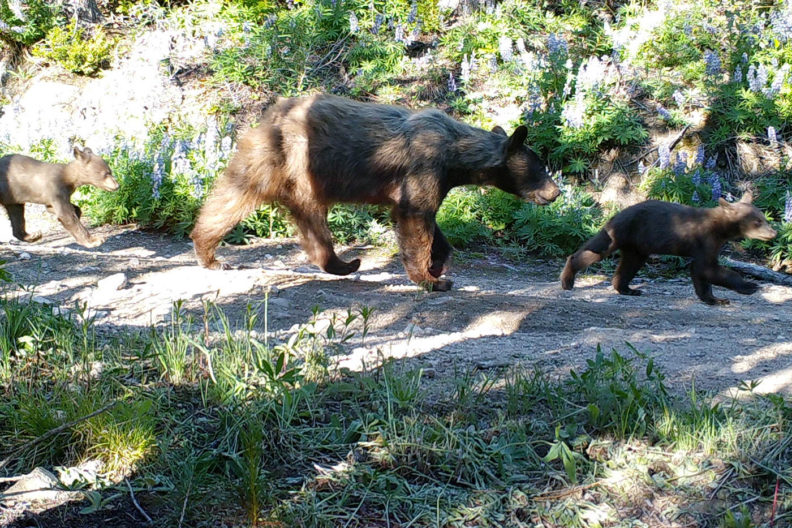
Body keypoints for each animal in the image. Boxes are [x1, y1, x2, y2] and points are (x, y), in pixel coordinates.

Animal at [190, 94, 560, 291]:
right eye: (541, 166)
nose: (555, 192)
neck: (457, 153)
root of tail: (271, 114)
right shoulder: (425, 167)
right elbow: (415, 218)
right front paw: (430, 280)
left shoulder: (436, 179)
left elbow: (430, 222)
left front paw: (439, 264)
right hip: (296, 164)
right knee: (261, 204)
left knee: (232, 200)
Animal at [560, 194, 777, 305]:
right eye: (758, 221)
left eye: (764, 218)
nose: (773, 233)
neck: (721, 229)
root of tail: (616, 213)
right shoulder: (704, 239)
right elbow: (706, 268)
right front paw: (749, 285)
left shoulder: (712, 245)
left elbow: (700, 271)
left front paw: (714, 298)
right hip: (621, 232)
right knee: (596, 250)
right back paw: (567, 279)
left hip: (637, 246)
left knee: (629, 264)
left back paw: (628, 289)